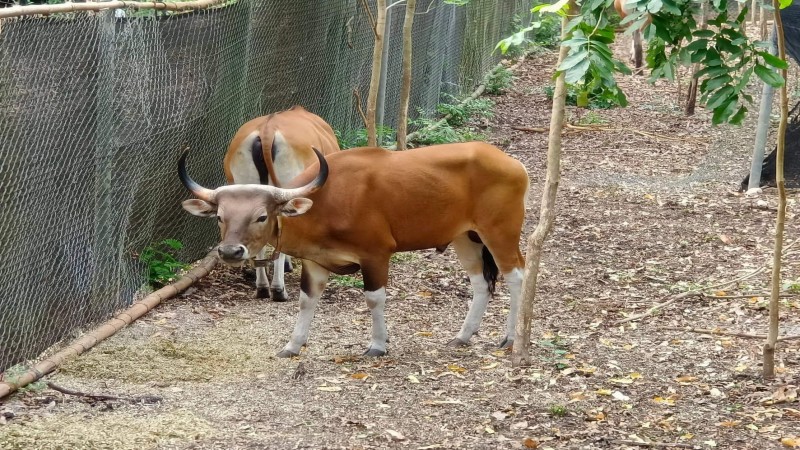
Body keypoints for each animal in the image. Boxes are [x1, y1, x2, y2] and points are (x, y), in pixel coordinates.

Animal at [182, 142, 532, 356]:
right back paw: (463, 335)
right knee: (480, 283)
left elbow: (374, 299)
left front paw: (378, 344)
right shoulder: (315, 262)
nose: (230, 252)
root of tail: (512, 163)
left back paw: (510, 338)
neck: (325, 203)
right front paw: (293, 345)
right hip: (465, 237)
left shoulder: (376, 254)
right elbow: (307, 301)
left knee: (517, 275)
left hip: (500, 231)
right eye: (220, 217)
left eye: (261, 216)